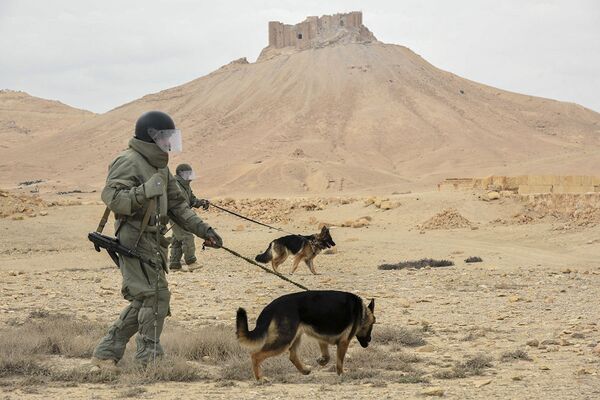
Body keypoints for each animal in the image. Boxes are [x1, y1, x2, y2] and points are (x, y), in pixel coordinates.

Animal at [236, 290, 372, 380]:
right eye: (372, 325)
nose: (370, 340)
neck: (362, 311)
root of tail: (270, 307)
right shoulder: (344, 342)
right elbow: (339, 361)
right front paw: (342, 374)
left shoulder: (322, 338)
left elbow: (327, 356)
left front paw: (322, 361)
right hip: (284, 341)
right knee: (255, 355)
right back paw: (260, 378)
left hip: (295, 337)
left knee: (292, 356)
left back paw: (304, 370)